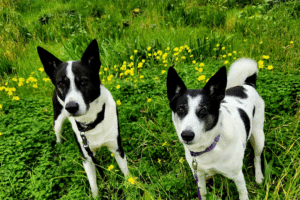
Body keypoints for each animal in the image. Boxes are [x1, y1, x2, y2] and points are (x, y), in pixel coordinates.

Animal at [37, 39, 128, 197]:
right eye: (61, 83)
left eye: (84, 82)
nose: (71, 107)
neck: (92, 121)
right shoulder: (87, 158)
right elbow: (93, 185)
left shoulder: (117, 148)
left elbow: (128, 176)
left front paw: (135, 189)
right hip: (58, 118)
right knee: (58, 132)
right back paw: (60, 146)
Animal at [166, 58, 264, 200]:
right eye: (180, 110)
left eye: (203, 111)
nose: (187, 135)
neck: (209, 145)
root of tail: (248, 84)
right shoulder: (198, 174)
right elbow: (203, 193)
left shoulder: (237, 175)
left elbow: (242, 193)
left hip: (258, 135)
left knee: (257, 157)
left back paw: (259, 176)